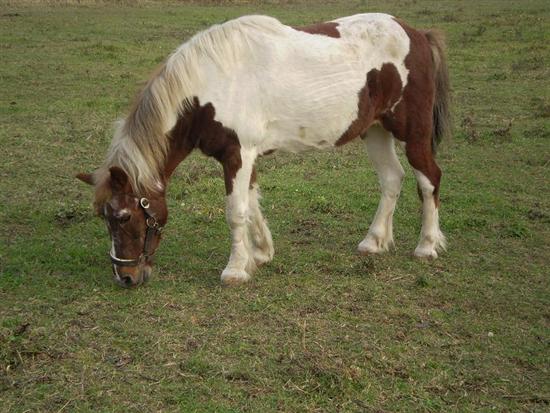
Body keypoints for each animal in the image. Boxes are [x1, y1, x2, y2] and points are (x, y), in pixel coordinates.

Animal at [75, 14, 450, 288]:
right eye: (104, 217)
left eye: (124, 217)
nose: (125, 277)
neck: (212, 83)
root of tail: (417, 34)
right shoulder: (243, 157)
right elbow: (252, 204)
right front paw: (260, 254)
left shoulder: (237, 155)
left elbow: (236, 211)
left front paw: (235, 270)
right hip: (375, 131)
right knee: (391, 179)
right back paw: (374, 241)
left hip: (413, 134)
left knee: (429, 179)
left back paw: (427, 246)